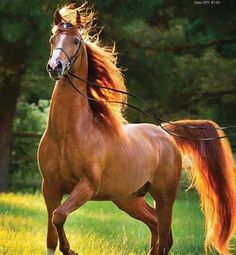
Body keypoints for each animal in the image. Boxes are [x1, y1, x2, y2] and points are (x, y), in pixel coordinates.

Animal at [37, 4, 236, 255]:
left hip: (164, 196)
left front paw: (71, 250)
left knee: (164, 234)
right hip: (128, 198)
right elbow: (52, 232)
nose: (55, 67)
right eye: (53, 39)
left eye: (75, 40)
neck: (67, 134)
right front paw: (66, 248)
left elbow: (60, 215)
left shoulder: (87, 186)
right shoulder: (50, 187)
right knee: (156, 226)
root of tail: (165, 133)